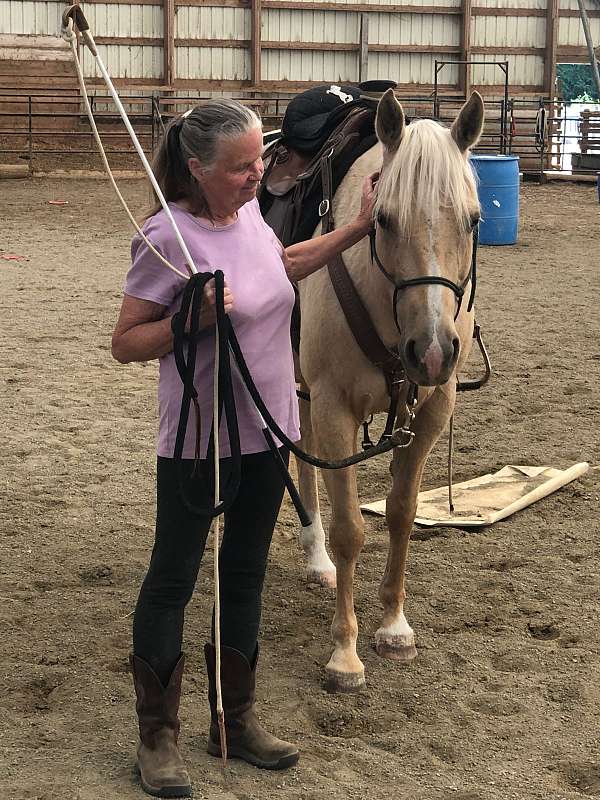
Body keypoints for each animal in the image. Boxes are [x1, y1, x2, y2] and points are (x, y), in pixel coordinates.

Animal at [298, 86, 486, 688]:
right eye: (382, 219)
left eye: (474, 220)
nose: (432, 350)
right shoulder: (334, 408)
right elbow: (350, 529)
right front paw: (345, 653)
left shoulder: (431, 411)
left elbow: (402, 513)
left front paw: (394, 627)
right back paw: (316, 558)